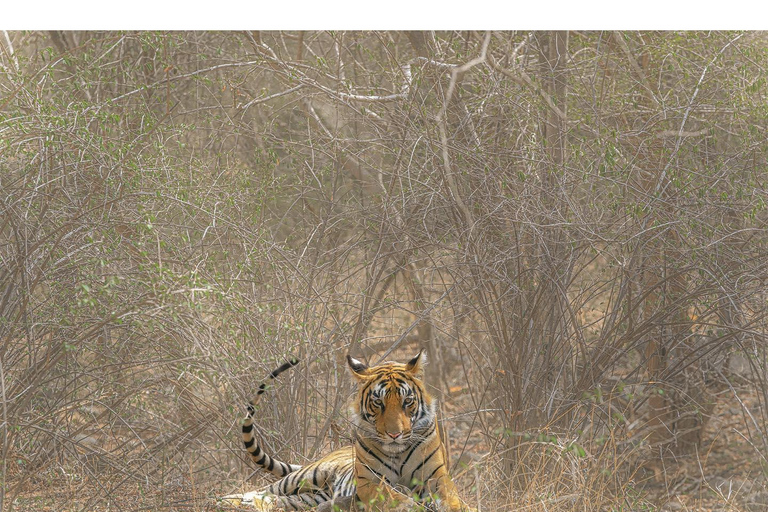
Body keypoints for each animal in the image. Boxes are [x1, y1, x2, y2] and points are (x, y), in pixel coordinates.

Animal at [222, 350, 476, 512]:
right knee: (259, 490)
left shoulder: (437, 477)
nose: (395, 435)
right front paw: (412, 506)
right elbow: (397, 498)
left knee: (275, 499)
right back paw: (227, 501)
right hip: (305, 476)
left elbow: (452, 499)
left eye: (407, 401)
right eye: (378, 402)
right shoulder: (369, 481)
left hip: (308, 498)